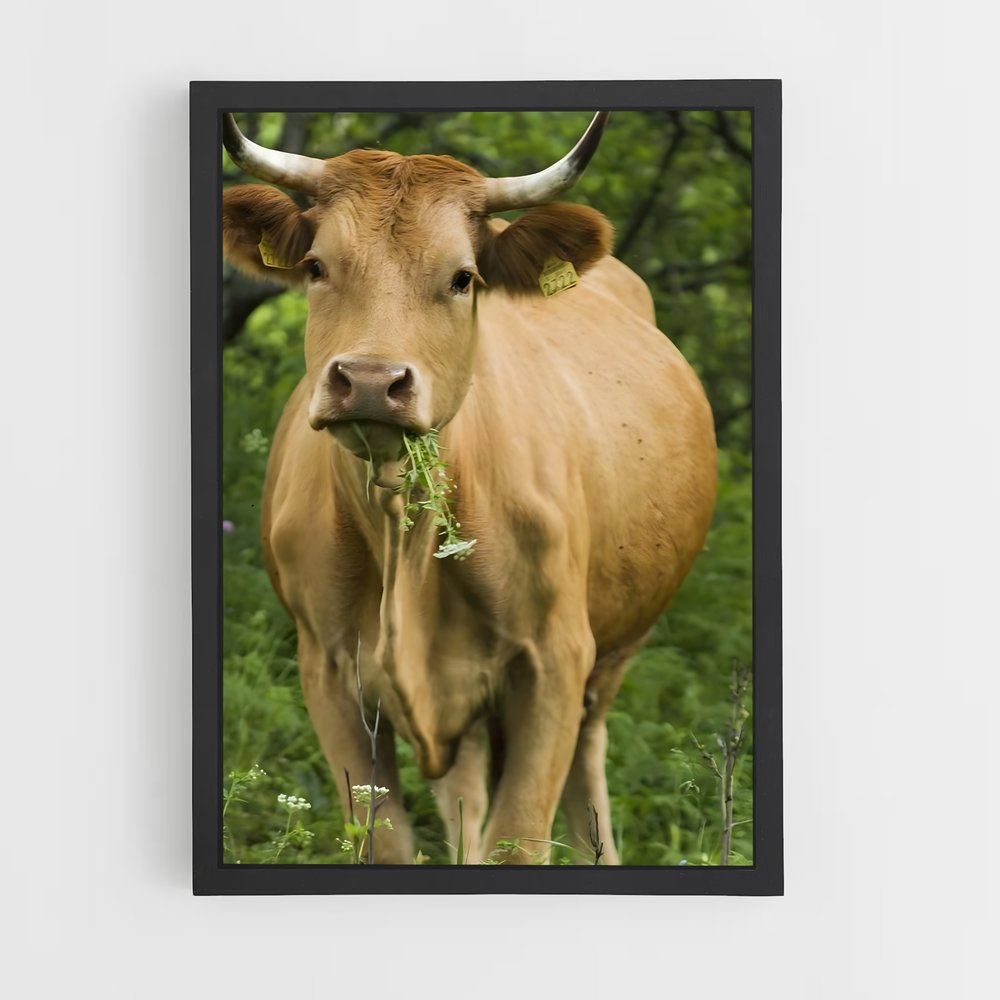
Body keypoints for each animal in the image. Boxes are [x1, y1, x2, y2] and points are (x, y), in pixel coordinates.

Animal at [221, 111, 717, 864]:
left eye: (461, 278)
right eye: (316, 267)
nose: (371, 380)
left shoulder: (553, 663)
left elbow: (521, 836)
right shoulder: (327, 667)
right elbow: (387, 840)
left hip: (612, 653)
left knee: (587, 770)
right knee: (466, 798)